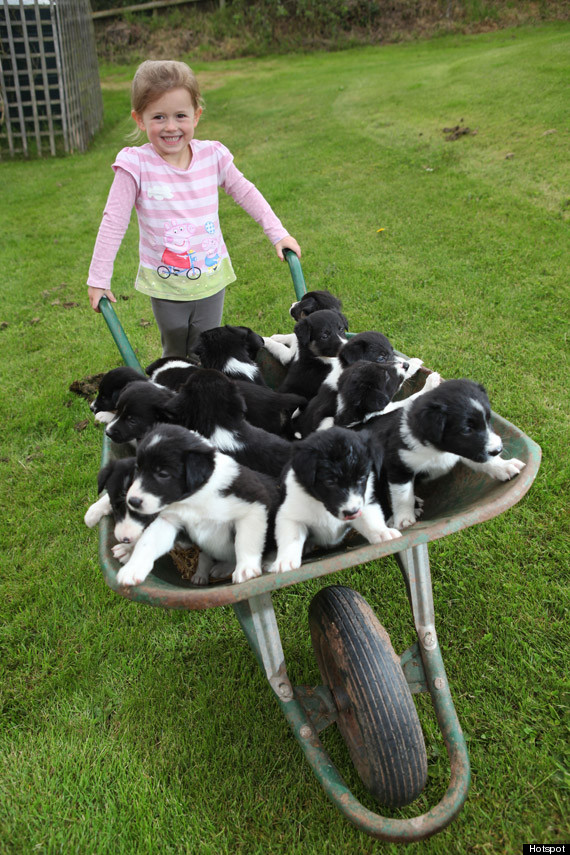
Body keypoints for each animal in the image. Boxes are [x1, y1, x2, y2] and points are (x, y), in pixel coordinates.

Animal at [114, 428, 278, 588]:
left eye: (163, 474)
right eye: (137, 468)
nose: (132, 501)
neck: (196, 498)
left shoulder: (254, 505)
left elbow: (245, 541)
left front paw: (246, 569)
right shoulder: (170, 519)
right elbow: (147, 542)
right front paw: (133, 569)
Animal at [266, 428, 400, 576]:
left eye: (361, 478)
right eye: (330, 482)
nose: (352, 512)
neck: (323, 506)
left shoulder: (366, 503)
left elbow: (371, 521)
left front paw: (383, 533)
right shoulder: (289, 515)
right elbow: (291, 538)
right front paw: (285, 561)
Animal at [360, 380, 524, 528]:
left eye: (488, 420)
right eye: (467, 429)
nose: (498, 450)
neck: (436, 450)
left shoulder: (466, 450)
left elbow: (485, 460)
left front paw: (505, 466)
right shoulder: (398, 466)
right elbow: (402, 495)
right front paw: (404, 518)